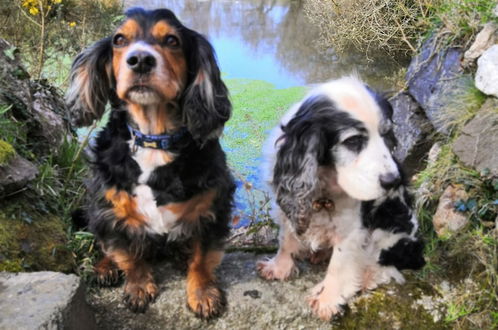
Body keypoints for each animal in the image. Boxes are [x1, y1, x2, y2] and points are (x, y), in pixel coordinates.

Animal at [66, 7, 235, 318]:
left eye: (172, 41)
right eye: (119, 40)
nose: (140, 60)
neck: (153, 138)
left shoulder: (213, 206)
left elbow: (202, 258)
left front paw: (203, 293)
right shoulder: (108, 209)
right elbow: (127, 254)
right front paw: (138, 287)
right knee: (103, 245)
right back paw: (105, 268)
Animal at [256, 76, 424, 320]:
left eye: (386, 135)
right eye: (353, 141)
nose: (394, 180)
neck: (324, 187)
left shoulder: (351, 230)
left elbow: (339, 264)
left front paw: (327, 300)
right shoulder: (287, 205)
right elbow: (286, 240)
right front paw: (278, 268)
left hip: (391, 229)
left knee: (381, 265)